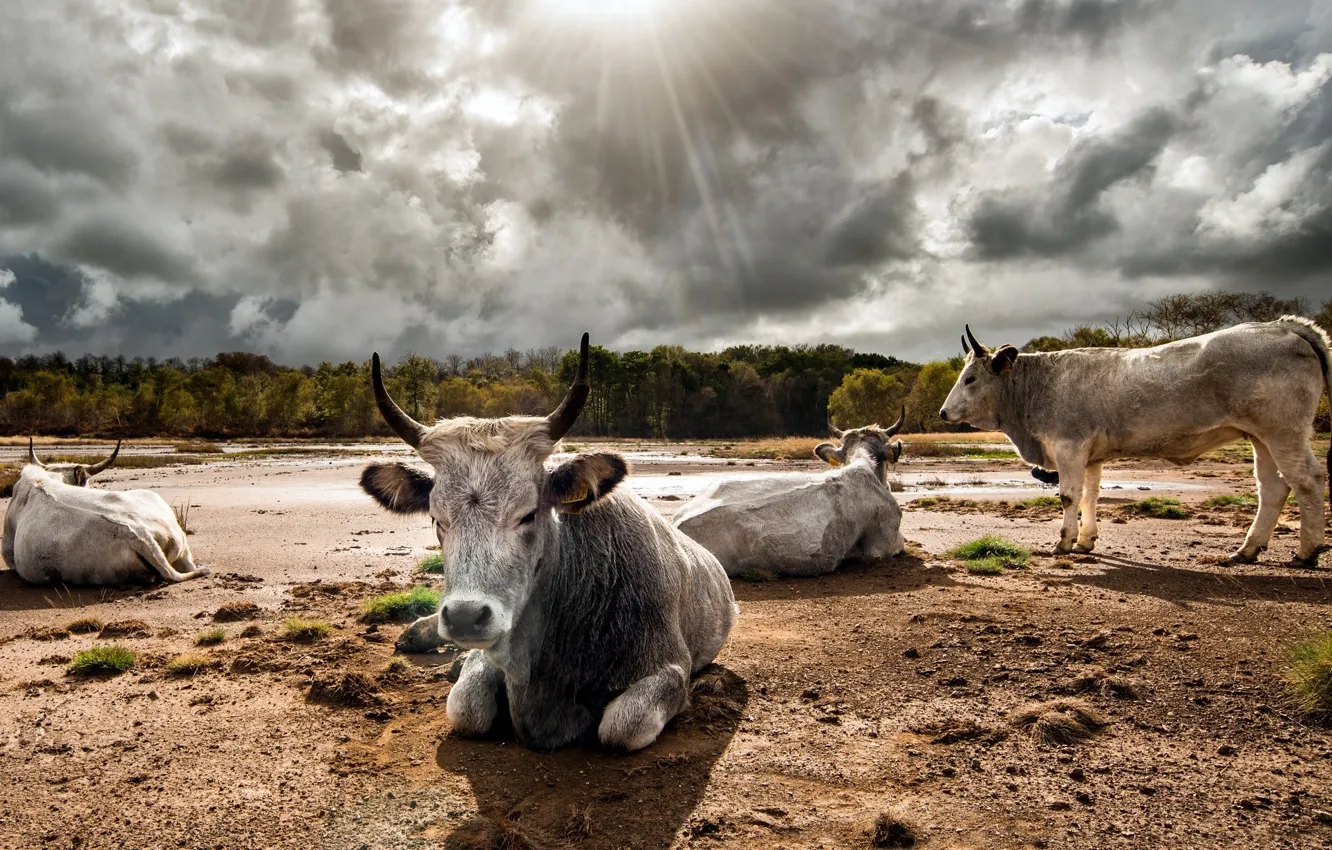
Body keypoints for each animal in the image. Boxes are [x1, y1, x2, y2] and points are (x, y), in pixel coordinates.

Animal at [359, 334, 737, 752]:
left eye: (528, 513)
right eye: (436, 518)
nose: (464, 617)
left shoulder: (670, 667)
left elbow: (621, 728)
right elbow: (467, 709)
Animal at [939, 319, 1332, 566]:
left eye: (970, 379)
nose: (943, 412)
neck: (1038, 385)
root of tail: (1283, 325)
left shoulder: (1069, 447)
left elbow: (1069, 496)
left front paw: (1064, 542)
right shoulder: (1090, 455)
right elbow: (1090, 496)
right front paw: (1085, 541)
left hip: (1283, 431)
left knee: (1307, 480)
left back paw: (1307, 552)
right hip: (1261, 437)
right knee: (1273, 488)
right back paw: (1247, 550)